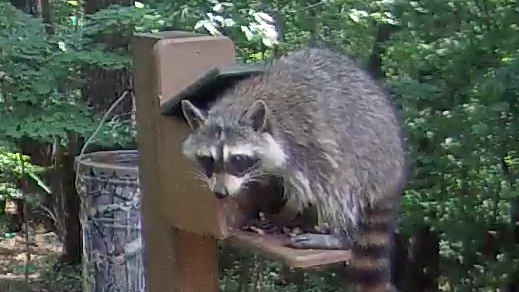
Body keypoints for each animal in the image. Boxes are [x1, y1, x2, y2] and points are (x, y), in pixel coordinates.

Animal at [181, 48, 408, 292]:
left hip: (362, 157)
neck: (233, 110)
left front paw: (285, 214)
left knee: (339, 185)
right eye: (208, 159)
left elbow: (305, 188)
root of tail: (394, 167)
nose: (221, 193)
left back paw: (343, 235)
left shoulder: (305, 142)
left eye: (237, 159)